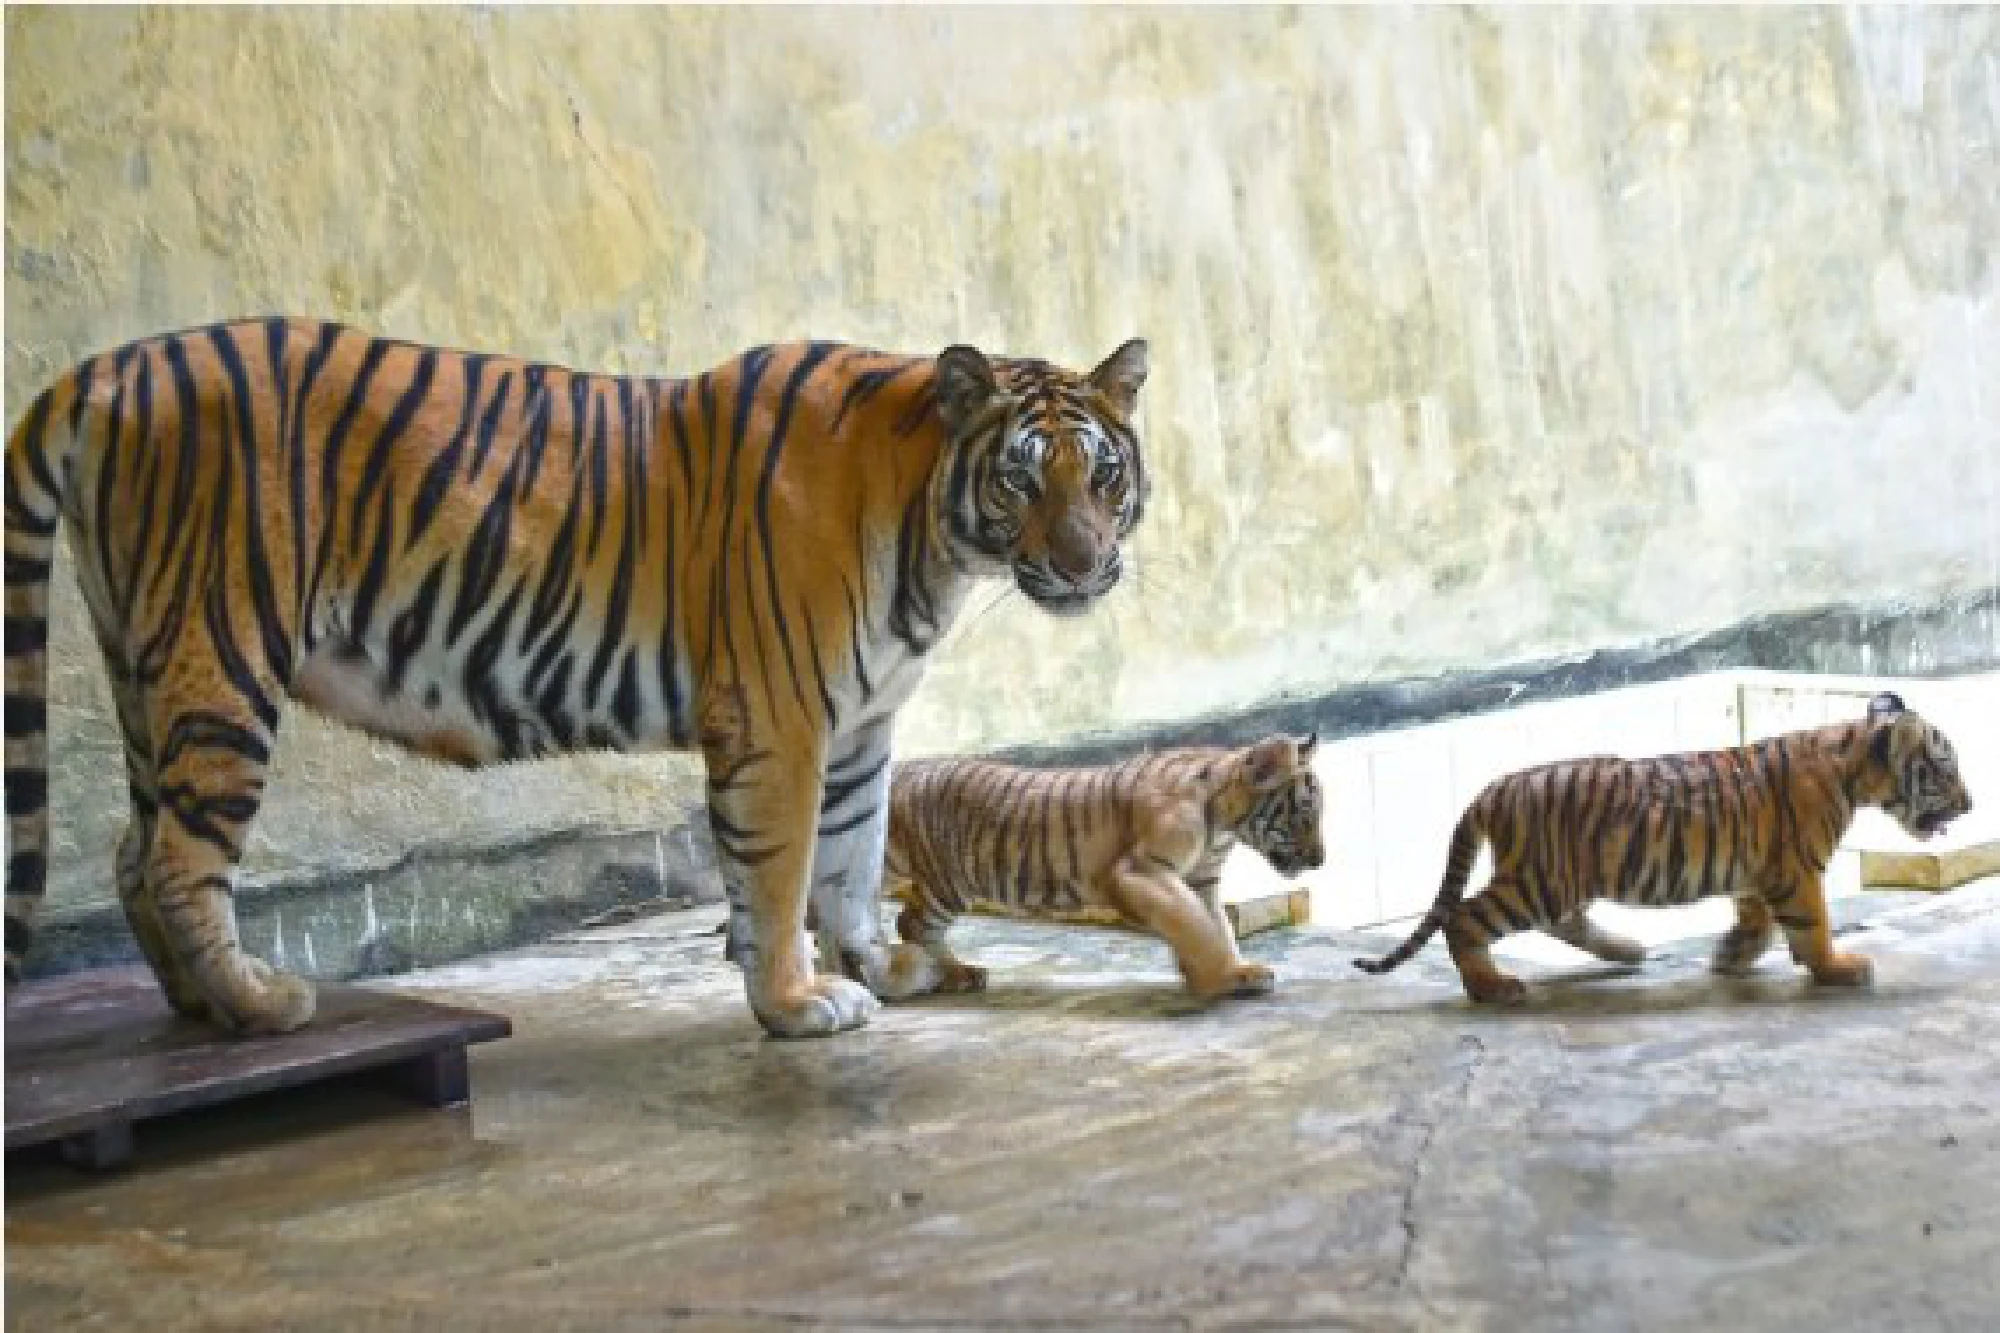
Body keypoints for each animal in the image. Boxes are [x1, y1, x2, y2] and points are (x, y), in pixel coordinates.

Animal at [3, 318, 1152, 1039]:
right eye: (1020, 480)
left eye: (1104, 474)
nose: (1086, 565)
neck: (937, 538)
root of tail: (107, 368)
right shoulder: (782, 718)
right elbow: (782, 872)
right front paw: (794, 1002)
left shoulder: (862, 727)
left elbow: (853, 857)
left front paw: (878, 968)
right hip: (221, 657)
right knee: (177, 859)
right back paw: (262, 1005)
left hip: (146, 665)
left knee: (131, 849)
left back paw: (199, 1011)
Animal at [853, 733, 1325, 1000]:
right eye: (1305, 813)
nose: (1321, 860)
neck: (1224, 824)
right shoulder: (1142, 871)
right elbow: (1194, 925)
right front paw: (1223, 979)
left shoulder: (1201, 880)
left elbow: (1215, 926)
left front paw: (1227, 972)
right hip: (943, 879)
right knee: (904, 921)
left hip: (947, 884)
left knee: (913, 923)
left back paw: (957, 973)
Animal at [1353, 691, 1973, 1004]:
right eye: (1944, 768)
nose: (1970, 804)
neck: (1851, 765)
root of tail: (1494, 788)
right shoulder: (1796, 870)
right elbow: (1811, 926)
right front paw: (1838, 968)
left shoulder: (1759, 870)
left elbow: (1757, 921)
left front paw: (1730, 957)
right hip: (1539, 879)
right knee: (1465, 918)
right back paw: (1493, 987)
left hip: (1559, 879)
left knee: (1562, 921)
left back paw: (1627, 951)